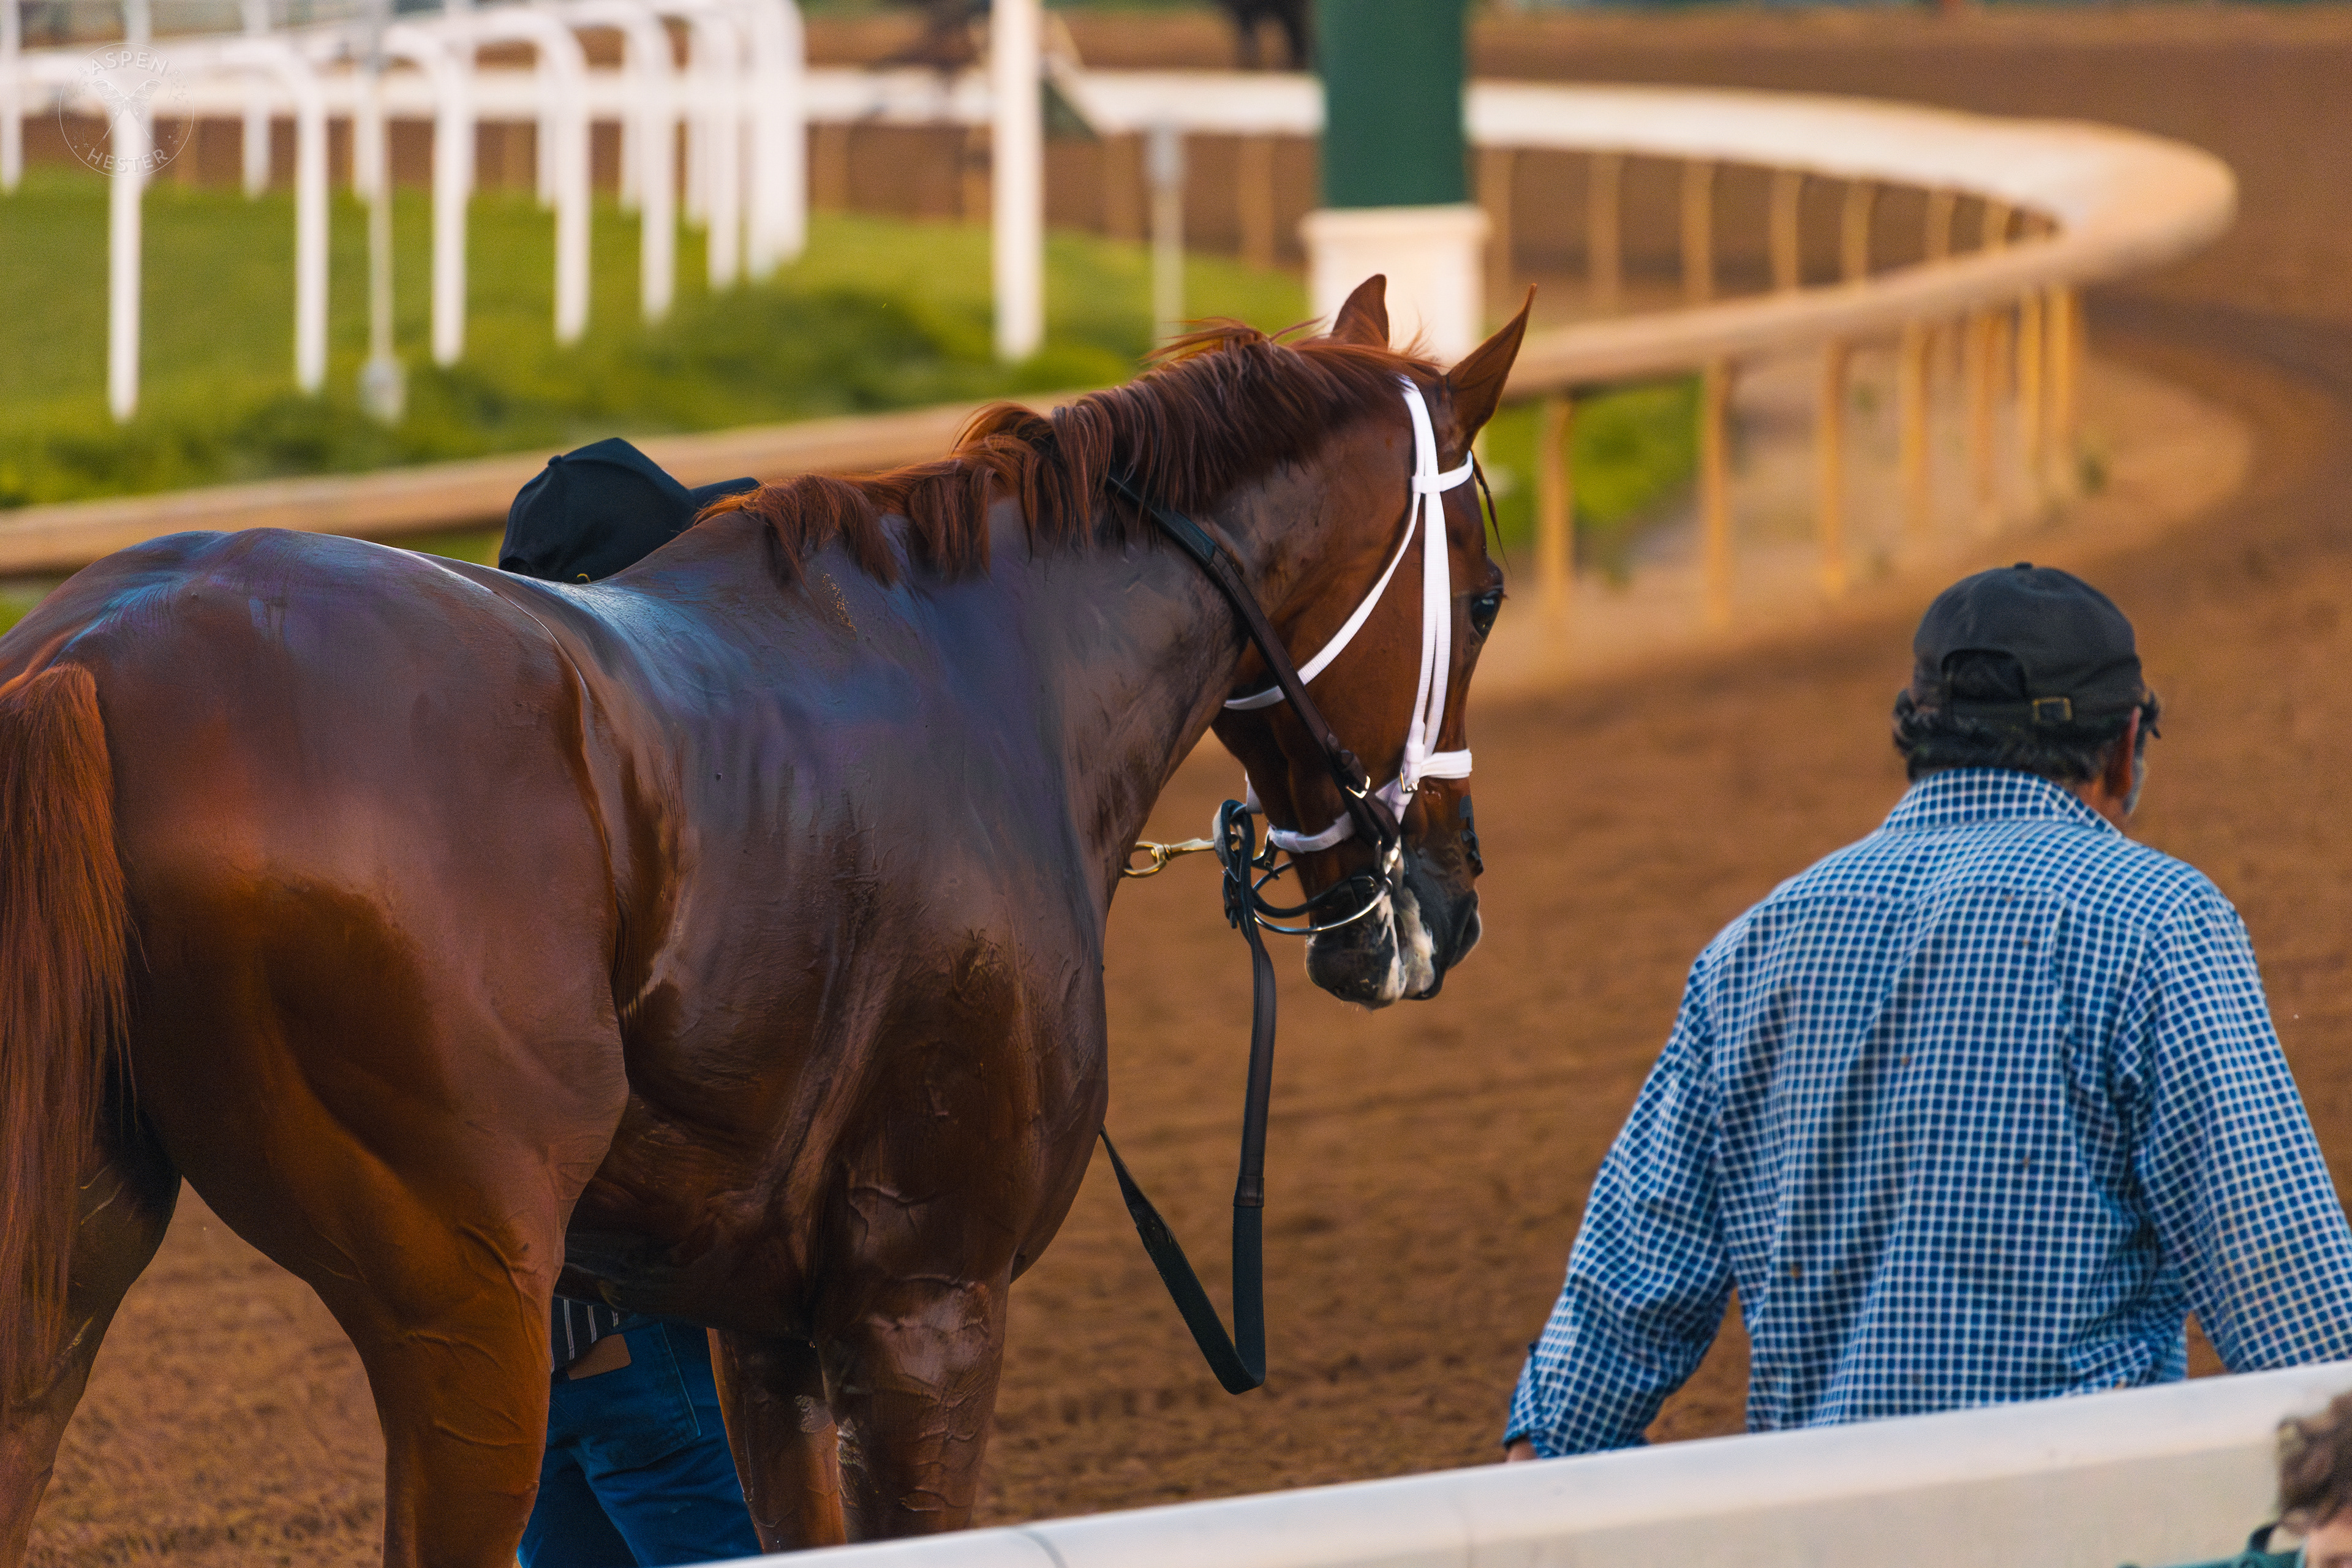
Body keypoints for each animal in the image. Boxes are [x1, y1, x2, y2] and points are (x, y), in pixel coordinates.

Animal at [0, 275, 1528, 1565]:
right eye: (1487, 592)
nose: (1446, 902)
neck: (1002, 673)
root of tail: (88, 655)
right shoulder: (928, 1300)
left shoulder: (767, 1328)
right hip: (466, 1305)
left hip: (72, 1260)